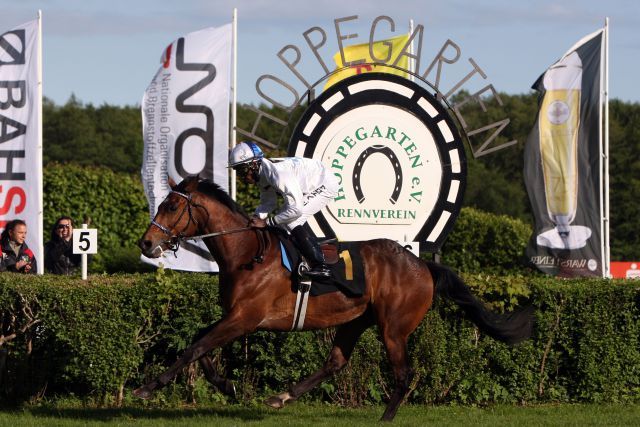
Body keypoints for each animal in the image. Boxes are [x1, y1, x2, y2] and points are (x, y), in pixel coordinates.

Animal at [136, 176, 536, 422]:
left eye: (171, 206)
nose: (146, 242)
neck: (247, 252)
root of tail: (422, 264)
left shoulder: (246, 317)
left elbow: (195, 347)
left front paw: (147, 387)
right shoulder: (234, 316)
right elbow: (199, 345)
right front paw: (227, 385)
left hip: (393, 328)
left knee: (404, 373)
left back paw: (385, 418)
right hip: (356, 320)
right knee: (336, 362)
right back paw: (283, 396)